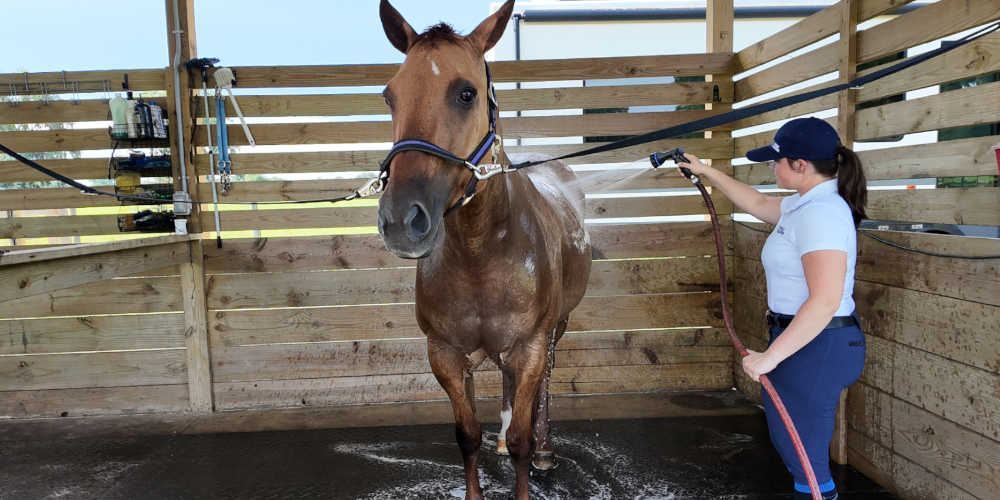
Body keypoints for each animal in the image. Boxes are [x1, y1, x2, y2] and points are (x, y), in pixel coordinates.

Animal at [375, 1, 592, 498]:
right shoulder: (445, 354)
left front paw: (528, 454)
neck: (481, 251)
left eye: (465, 94)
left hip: (557, 329)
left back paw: (545, 450)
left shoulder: (531, 346)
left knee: (544, 387)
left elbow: (522, 437)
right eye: (390, 96)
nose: (401, 221)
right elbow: (468, 435)